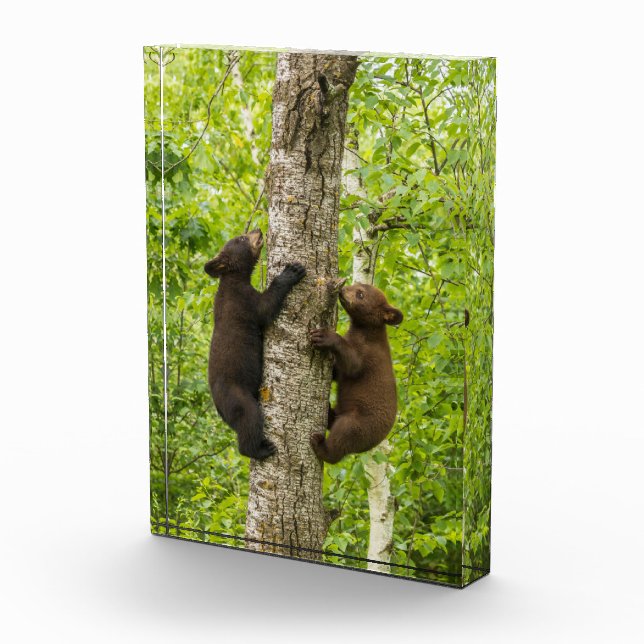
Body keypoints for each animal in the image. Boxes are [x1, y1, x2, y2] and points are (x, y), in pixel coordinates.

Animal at [204, 229, 306, 460]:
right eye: (241, 238)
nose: (258, 230)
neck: (233, 279)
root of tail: (219, 408)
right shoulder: (243, 301)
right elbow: (266, 308)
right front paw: (292, 271)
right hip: (238, 396)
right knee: (250, 418)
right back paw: (261, 449)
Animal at [309, 282, 403, 464]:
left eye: (360, 294)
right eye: (357, 285)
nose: (342, 289)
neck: (365, 331)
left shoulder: (369, 354)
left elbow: (353, 364)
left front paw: (325, 336)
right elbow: (339, 372)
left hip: (359, 424)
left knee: (342, 436)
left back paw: (321, 446)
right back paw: (329, 413)